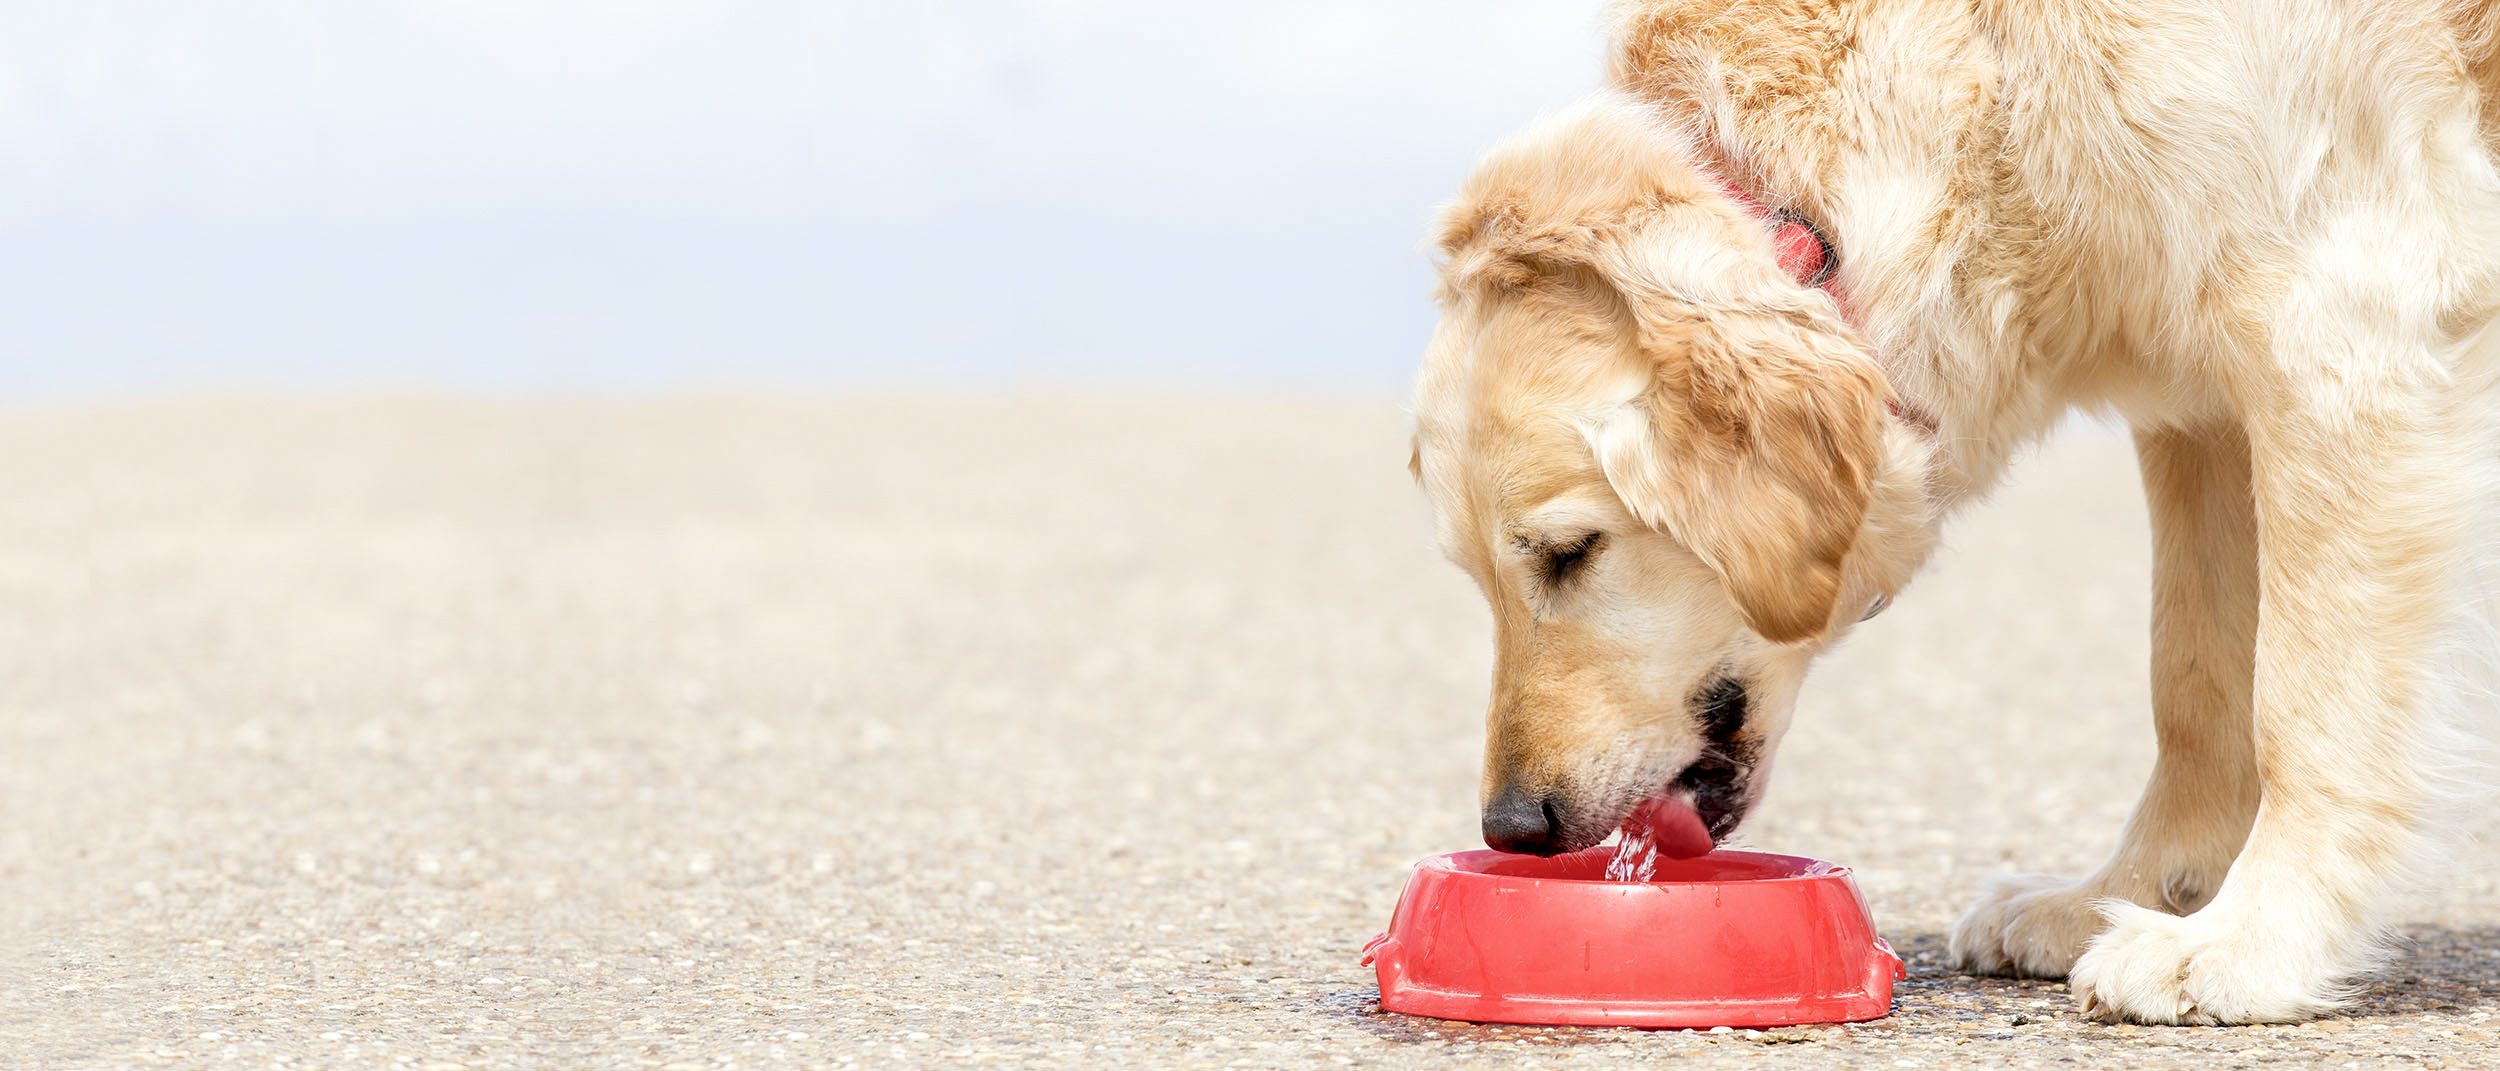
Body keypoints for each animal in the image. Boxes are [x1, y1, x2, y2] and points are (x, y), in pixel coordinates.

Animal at [1420, 0, 2500, 1020]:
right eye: (1476, 577)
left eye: (1569, 552)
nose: (1512, 828)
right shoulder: (2198, 400)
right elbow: (2194, 683)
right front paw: (2129, 895)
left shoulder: (2337, 330)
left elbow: (2300, 705)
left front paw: (2251, 942)